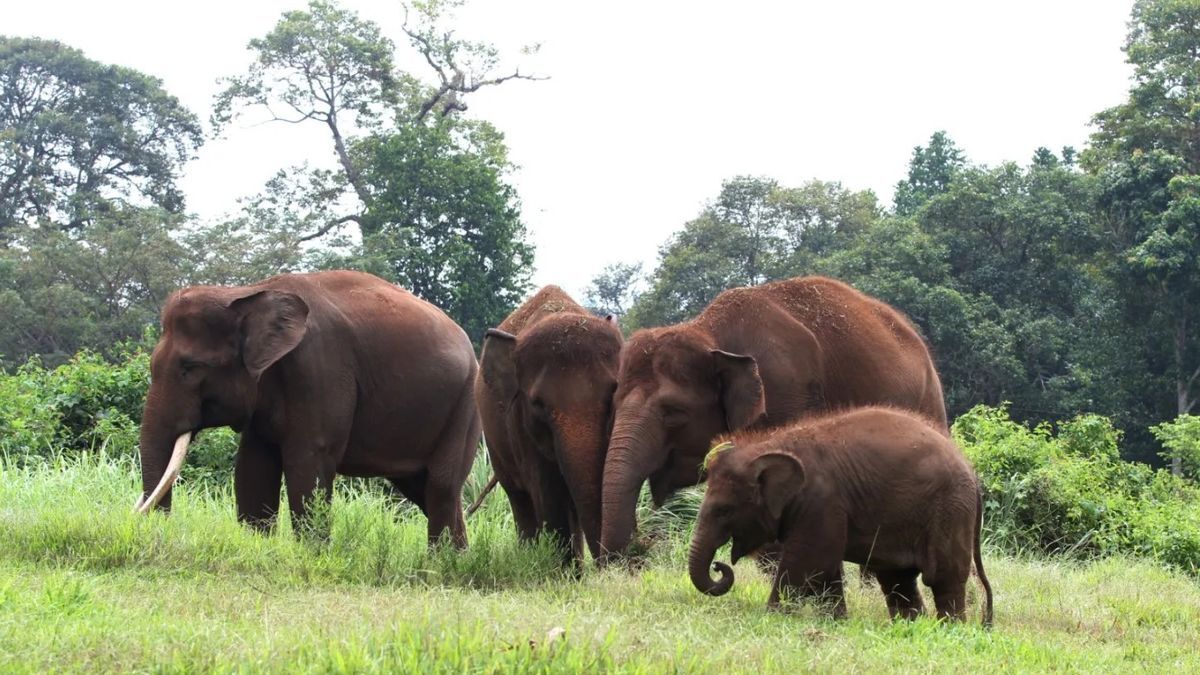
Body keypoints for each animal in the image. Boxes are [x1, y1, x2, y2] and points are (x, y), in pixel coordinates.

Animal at [135, 270, 480, 546]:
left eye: (190, 368)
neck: (248, 292)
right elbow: (253, 466)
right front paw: (259, 547)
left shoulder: (320, 368)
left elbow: (308, 461)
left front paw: (310, 553)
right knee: (423, 488)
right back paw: (458, 559)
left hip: (466, 403)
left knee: (441, 486)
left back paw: (441, 564)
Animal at [475, 286, 623, 563]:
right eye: (538, 404)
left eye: (613, 392)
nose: (609, 566)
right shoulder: (520, 425)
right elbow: (547, 491)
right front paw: (563, 568)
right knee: (520, 499)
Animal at [600, 276, 947, 559]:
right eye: (613, 405)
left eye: (672, 412)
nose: (643, 543)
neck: (708, 331)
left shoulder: (785, 390)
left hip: (930, 402)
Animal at [690, 406, 993, 625]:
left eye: (724, 510)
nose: (718, 566)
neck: (771, 442)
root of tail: (973, 472)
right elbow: (825, 567)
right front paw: (837, 622)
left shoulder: (822, 501)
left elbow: (810, 561)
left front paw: (771, 617)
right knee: (897, 579)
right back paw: (910, 627)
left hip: (950, 511)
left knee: (942, 577)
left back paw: (949, 629)